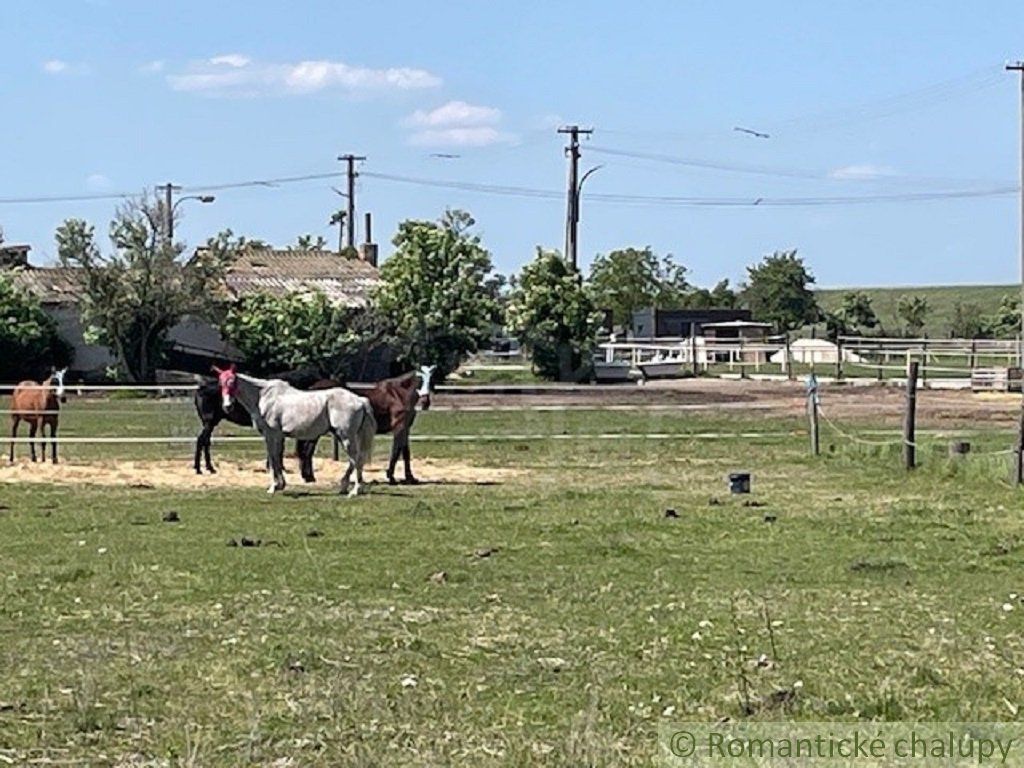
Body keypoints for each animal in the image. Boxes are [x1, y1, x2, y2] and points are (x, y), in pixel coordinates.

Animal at [212, 366, 376, 499]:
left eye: (232, 382)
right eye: (221, 383)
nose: (227, 406)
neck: (264, 397)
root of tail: (360, 400)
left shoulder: (271, 435)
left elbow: (273, 459)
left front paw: (273, 487)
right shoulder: (278, 437)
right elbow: (277, 459)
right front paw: (280, 485)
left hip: (346, 436)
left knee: (356, 459)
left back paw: (354, 490)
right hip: (345, 436)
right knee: (354, 460)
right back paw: (344, 487)